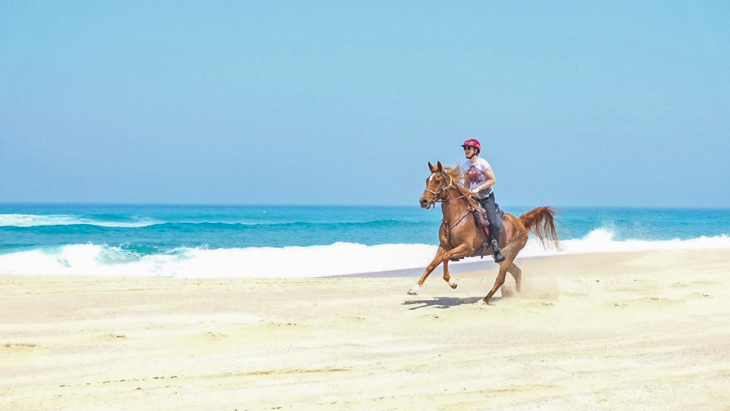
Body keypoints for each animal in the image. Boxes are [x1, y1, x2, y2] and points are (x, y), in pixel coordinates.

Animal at [406, 162, 560, 306]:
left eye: (438, 181)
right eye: (427, 180)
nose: (423, 201)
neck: (455, 217)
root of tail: (520, 222)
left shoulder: (467, 248)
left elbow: (446, 258)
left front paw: (452, 283)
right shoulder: (444, 247)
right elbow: (431, 265)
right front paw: (415, 288)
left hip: (510, 253)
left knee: (500, 279)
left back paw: (484, 300)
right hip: (500, 256)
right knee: (517, 272)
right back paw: (518, 295)